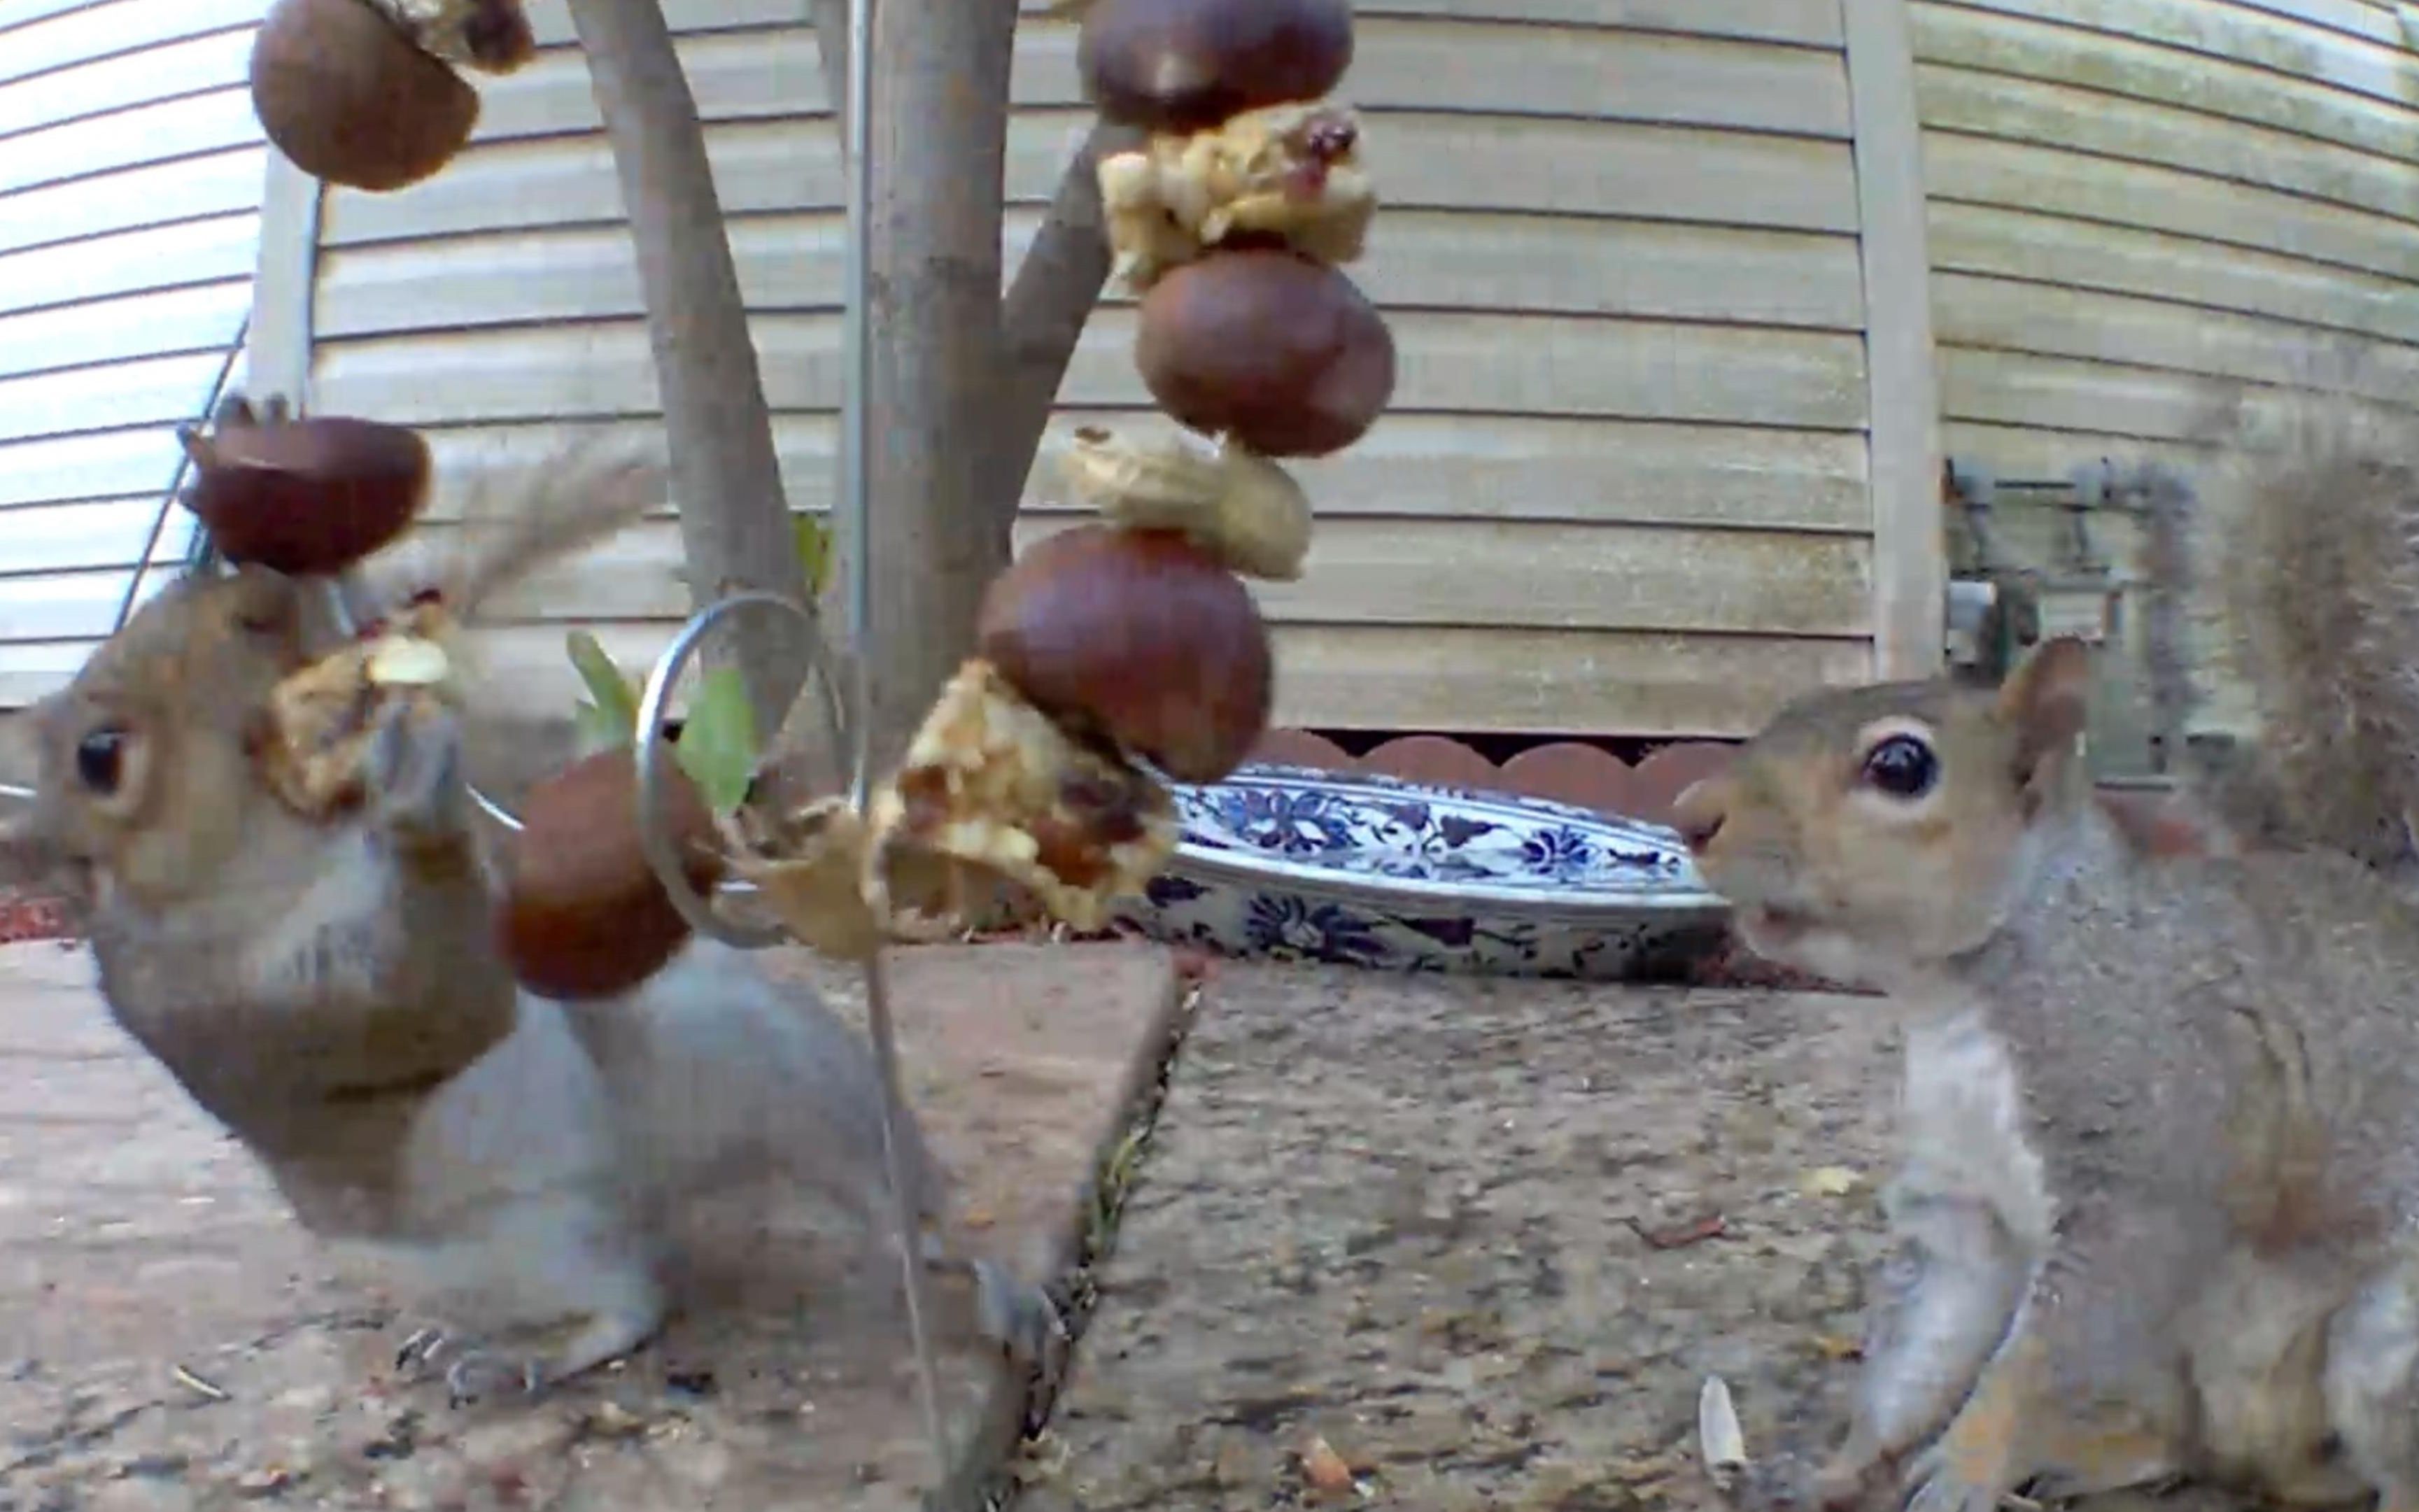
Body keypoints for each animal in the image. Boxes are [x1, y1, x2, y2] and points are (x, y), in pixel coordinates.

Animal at [0, 450, 1050, 1403]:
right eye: (100, 755)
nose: (261, 594)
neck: (301, 844)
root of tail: (647, 1195)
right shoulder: (272, 1015)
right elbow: (432, 995)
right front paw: (411, 766)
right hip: (528, 1251)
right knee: (631, 1307)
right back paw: (510, 1354)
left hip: (783, 1070)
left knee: (867, 1197)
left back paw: (974, 1270)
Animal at [1674, 401, 2419, 1509]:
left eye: (1901, 765)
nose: (1690, 813)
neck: (1960, 996)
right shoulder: (1963, 1210)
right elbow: (1927, 1344)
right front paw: (1846, 1461)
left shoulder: (2146, 1162)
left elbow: (2035, 1356)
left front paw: (1963, 1467)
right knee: (2185, 1441)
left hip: (2383, 1344)